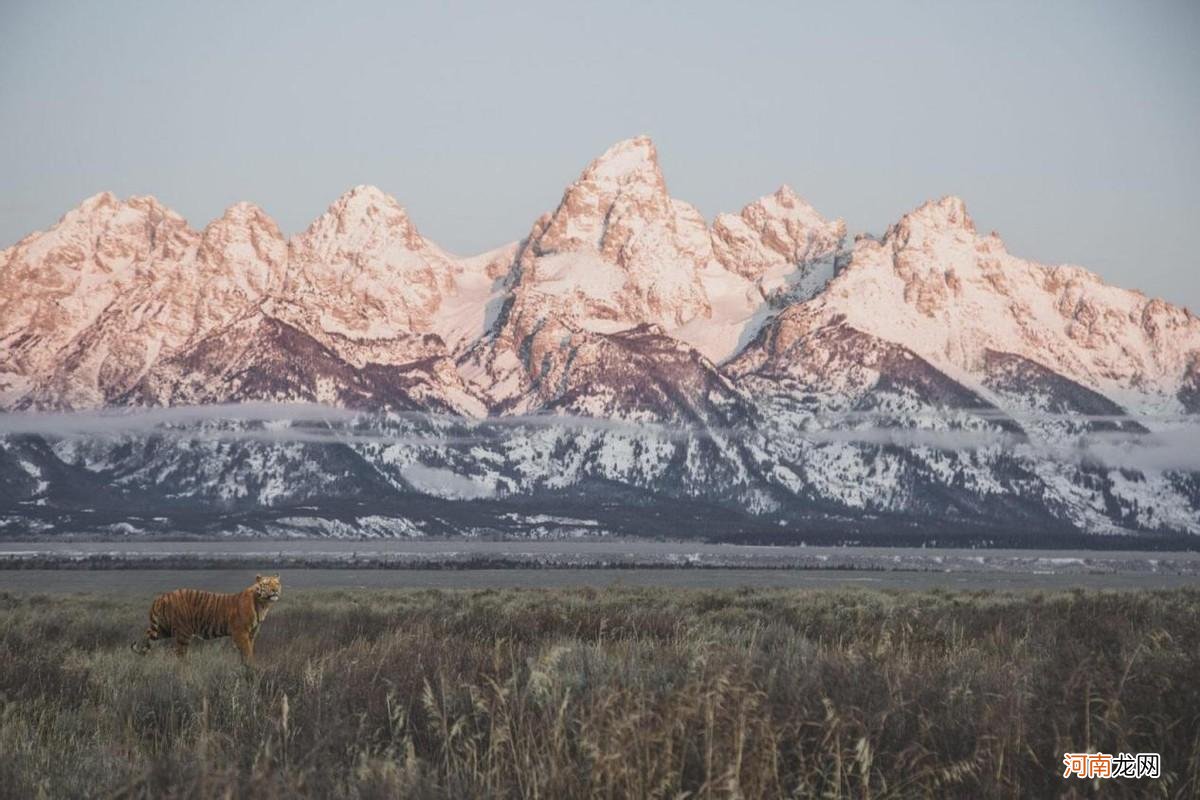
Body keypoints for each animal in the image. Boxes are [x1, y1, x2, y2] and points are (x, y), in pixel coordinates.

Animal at [130, 573, 282, 666]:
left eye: (277, 583)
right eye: (267, 584)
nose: (275, 590)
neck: (263, 605)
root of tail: (161, 597)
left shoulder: (251, 634)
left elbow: (248, 651)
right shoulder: (241, 633)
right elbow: (247, 652)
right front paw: (251, 668)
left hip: (163, 629)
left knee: (146, 637)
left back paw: (139, 653)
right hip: (183, 633)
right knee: (179, 654)